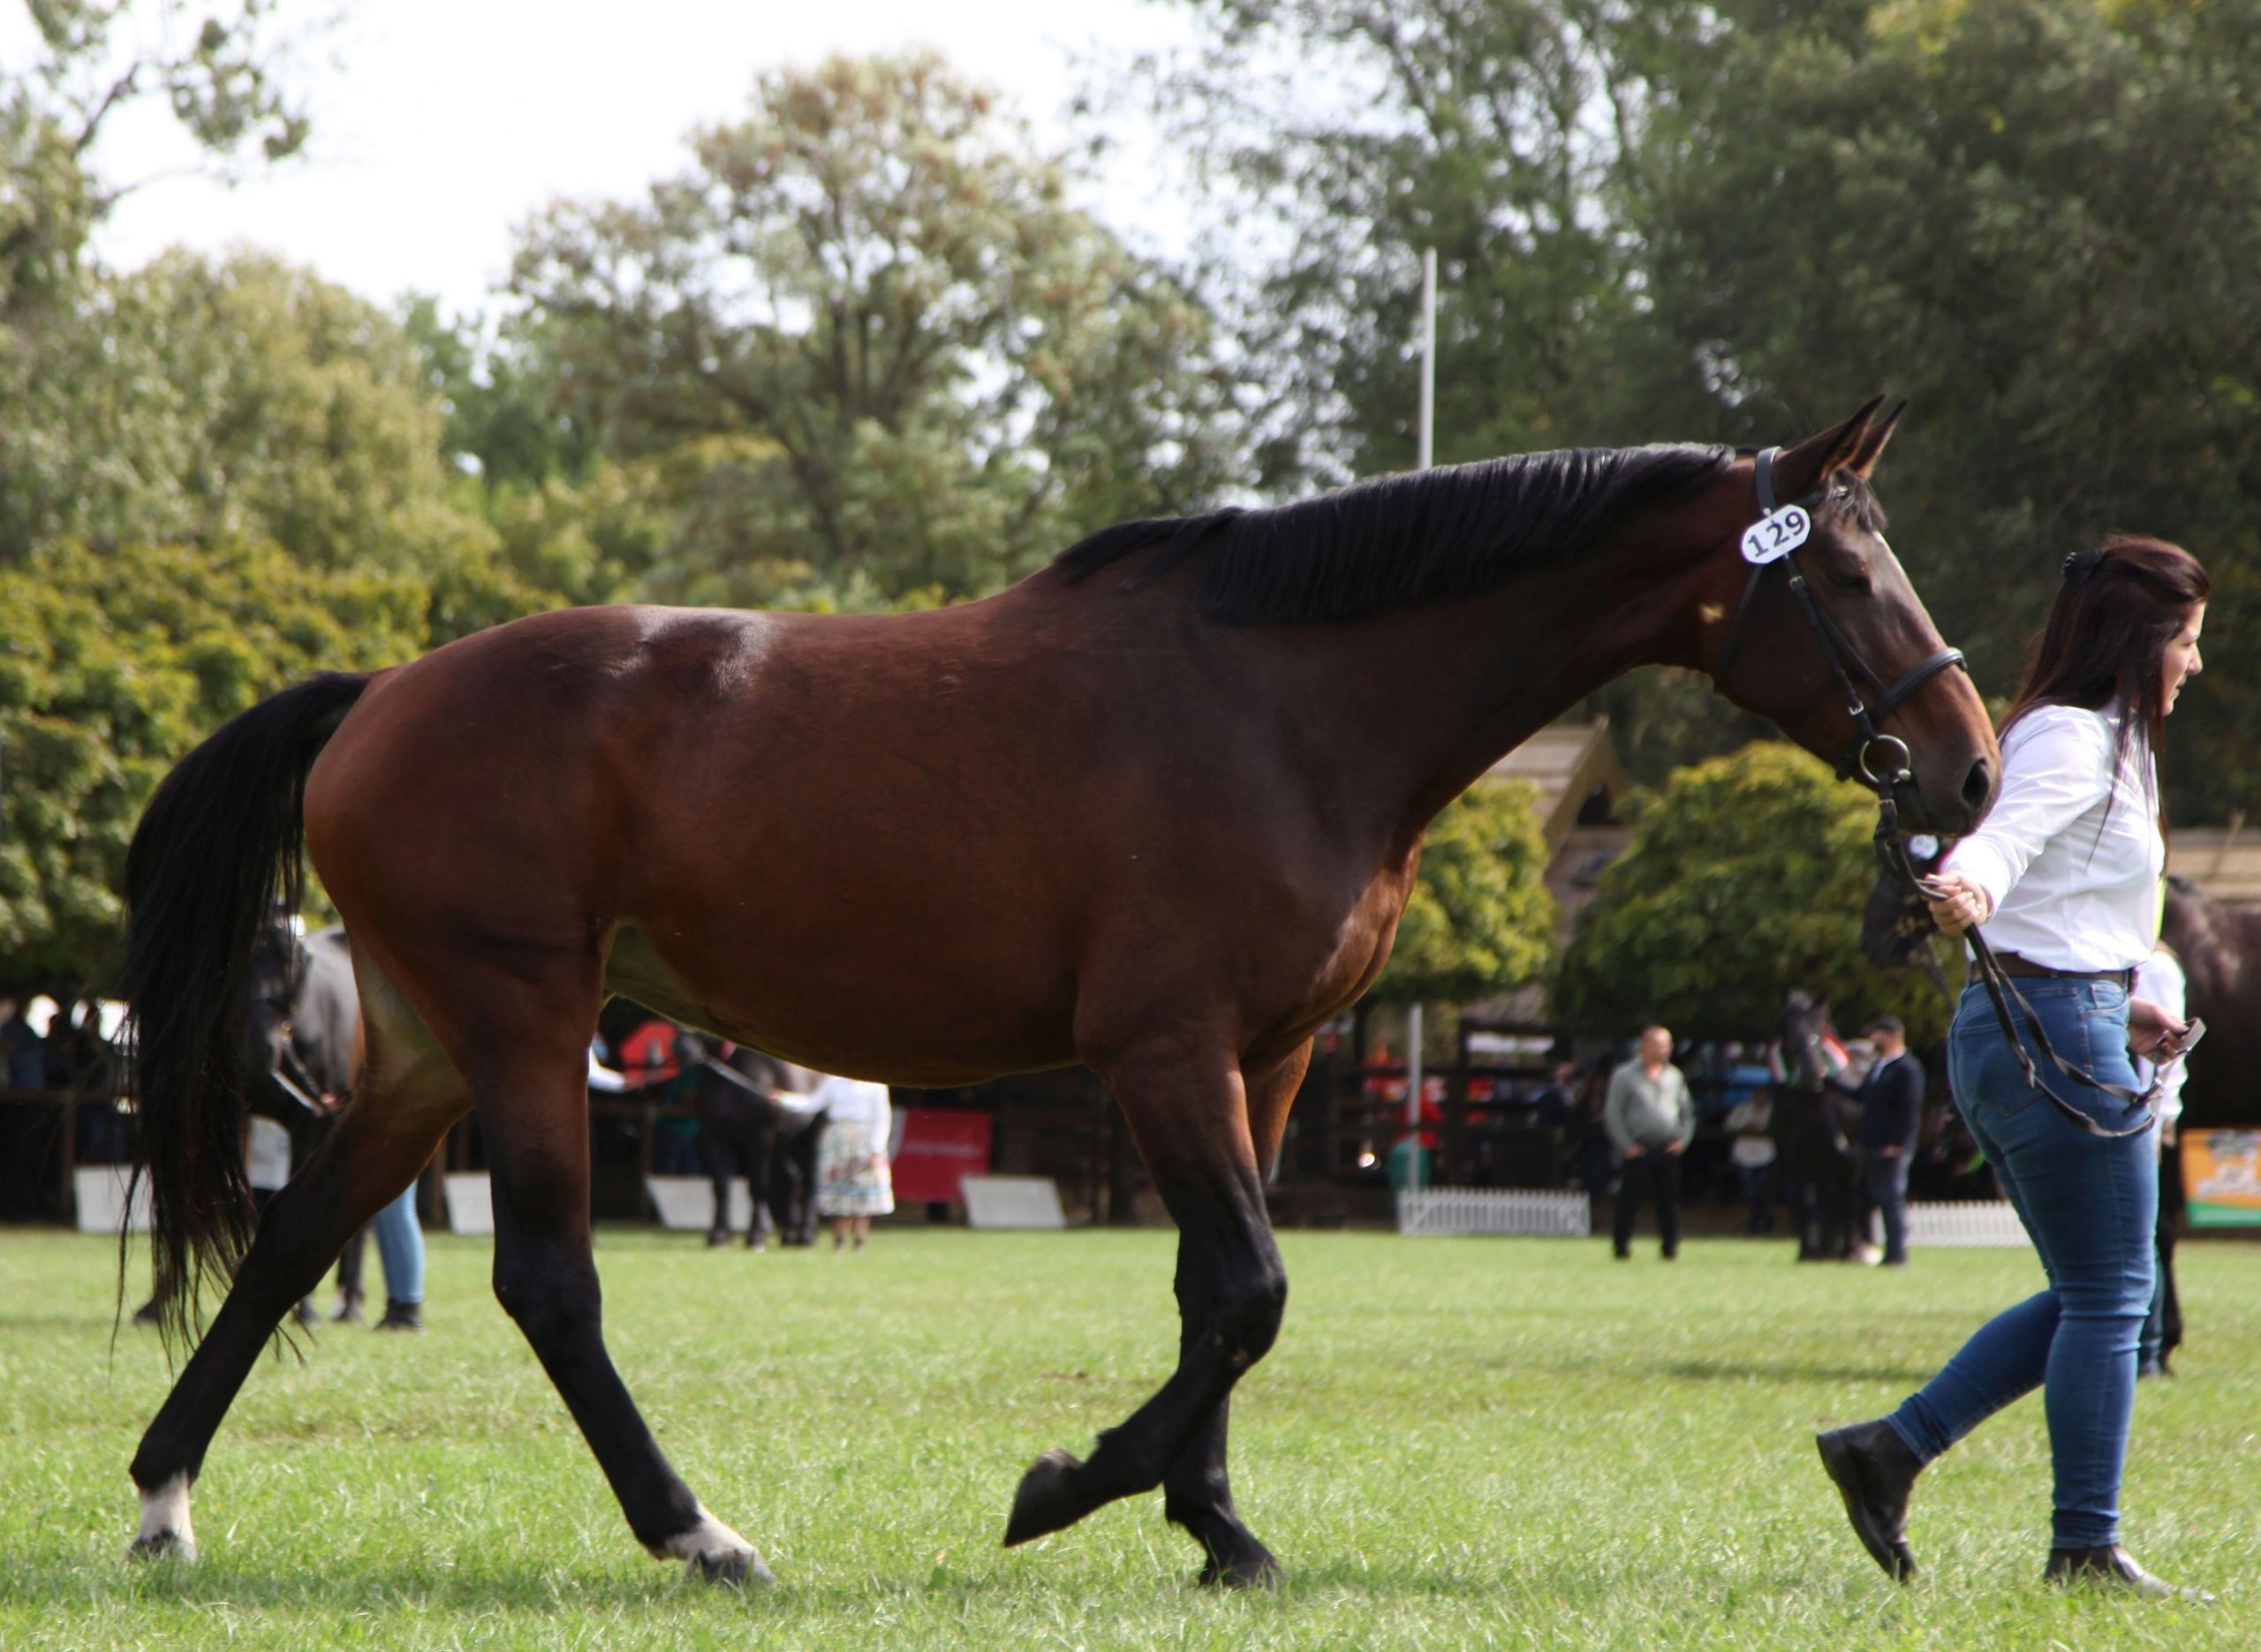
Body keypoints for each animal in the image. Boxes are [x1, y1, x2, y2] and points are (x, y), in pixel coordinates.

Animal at [669, 1035, 832, 1256]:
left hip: (811, 1136)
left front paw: (756, 1236)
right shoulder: (713, 1137)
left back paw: (806, 1234)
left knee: (810, 1181)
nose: (682, 1049)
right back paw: (791, 1235)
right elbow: (720, 1187)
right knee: (791, 1179)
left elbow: (758, 1186)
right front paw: (719, 1236)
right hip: (785, 1143)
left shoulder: (759, 1138)